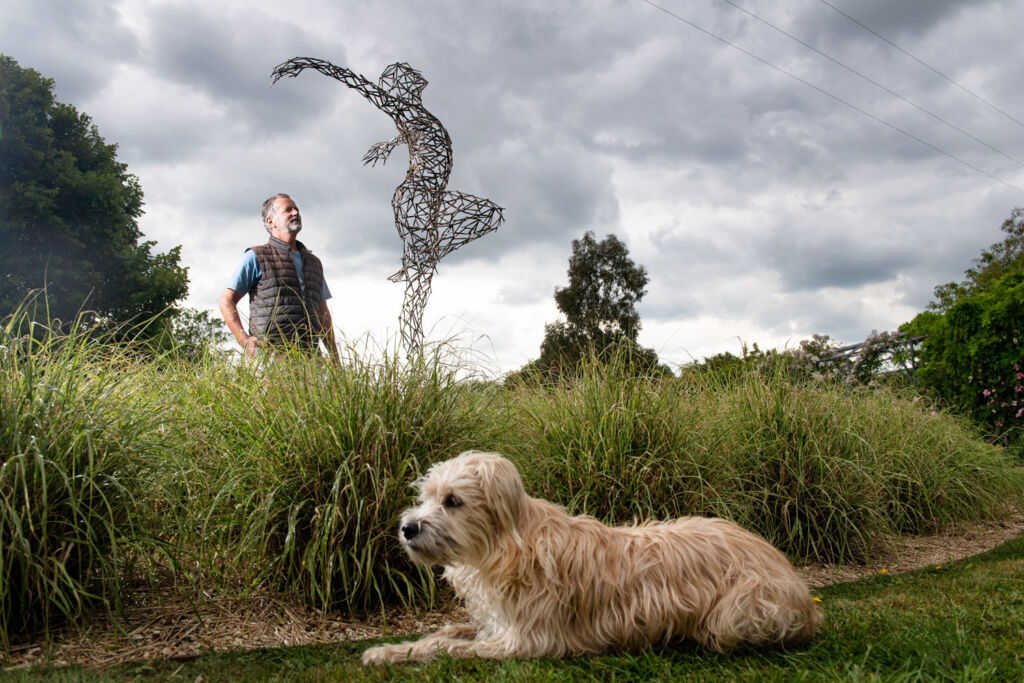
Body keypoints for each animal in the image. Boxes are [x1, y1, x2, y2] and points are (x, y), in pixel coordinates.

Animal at [360, 450, 815, 663]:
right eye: (426, 497)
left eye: (453, 501)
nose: (407, 528)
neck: (506, 547)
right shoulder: (497, 623)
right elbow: (448, 632)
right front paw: (399, 645)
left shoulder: (526, 640)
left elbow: (446, 648)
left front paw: (390, 653)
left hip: (738, 612)